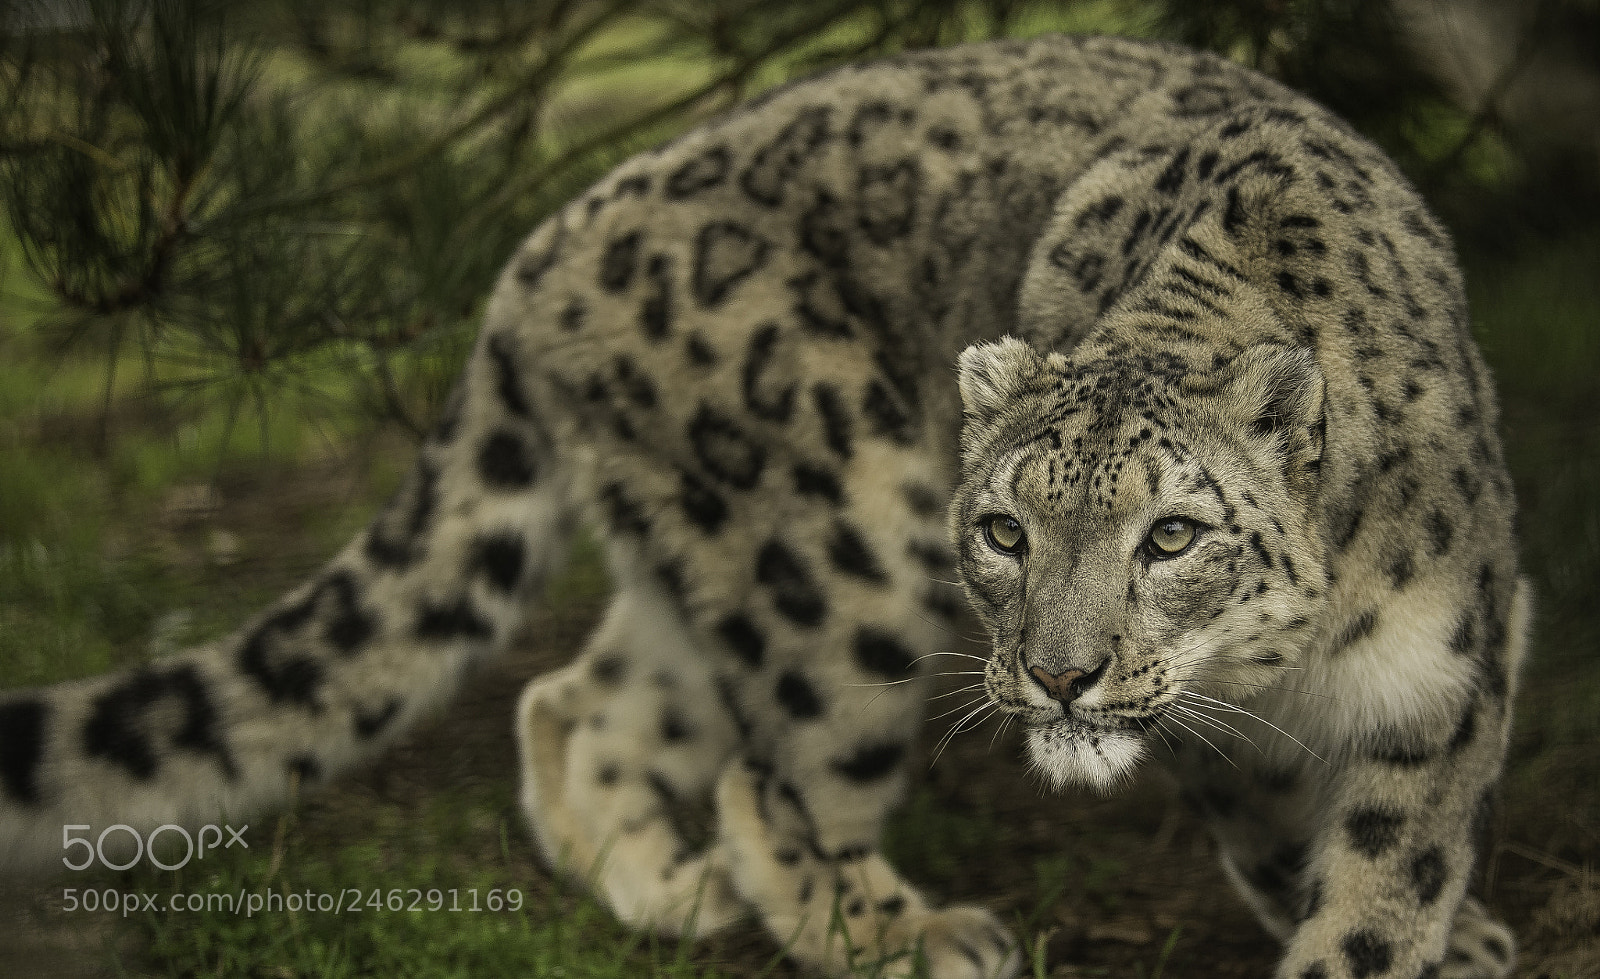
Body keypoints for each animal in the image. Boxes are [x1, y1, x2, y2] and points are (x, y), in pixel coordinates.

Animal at [0, 34, 1528, 979]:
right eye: (1006, 530)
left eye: (1172, 535)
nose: (1059, 674)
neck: (1291, 668)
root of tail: (535, 254)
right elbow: (1314, 861)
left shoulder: (1447, 673)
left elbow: (1386, 856)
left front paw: (1440, 933)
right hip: (832, 554)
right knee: (770, 773)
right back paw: (902, 930)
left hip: (714, 551)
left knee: (578, 696)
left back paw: (669, 887)